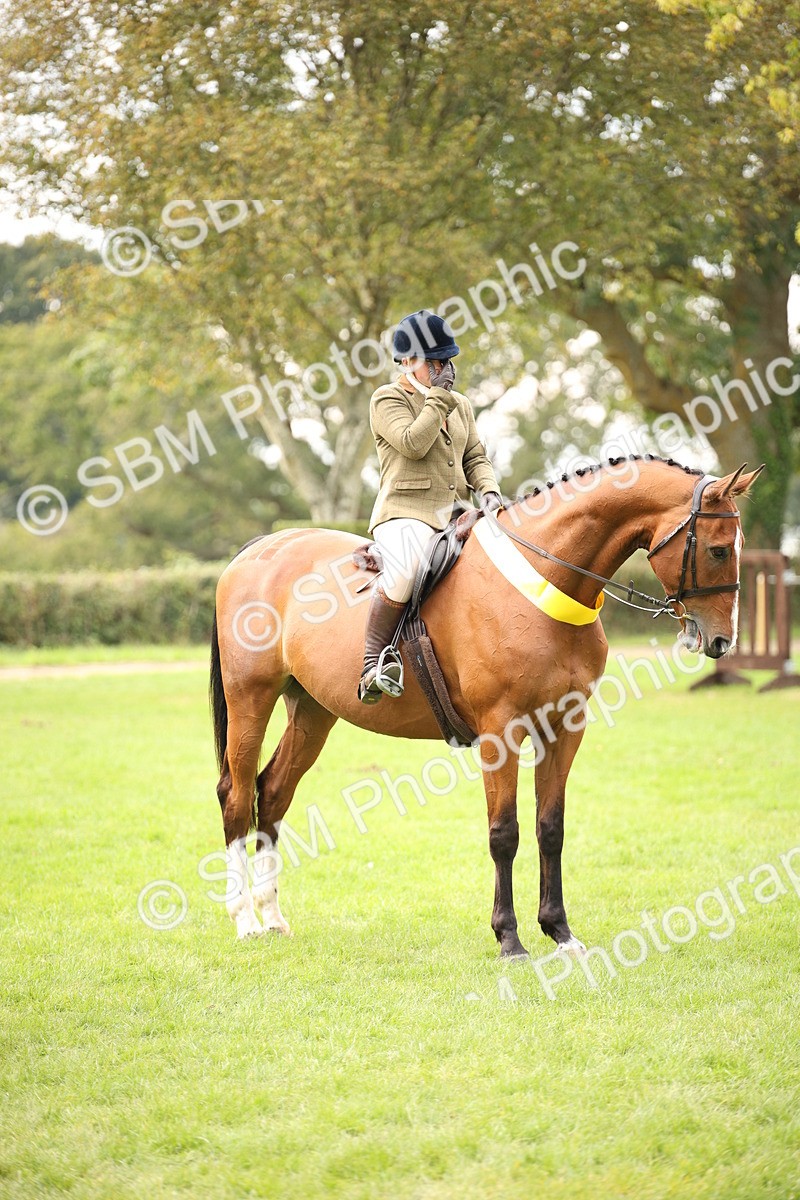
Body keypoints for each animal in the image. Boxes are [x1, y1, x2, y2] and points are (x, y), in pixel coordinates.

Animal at [209, 455, 763, 955]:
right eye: (717, 550)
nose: (720, 641)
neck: (546, 576)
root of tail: (262, 548)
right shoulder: (502, 731)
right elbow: (505, 833)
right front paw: (510, 939)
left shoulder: (565, 727)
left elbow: (550, 828)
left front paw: (559, 932)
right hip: (251, 699)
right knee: (237, 795)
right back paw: (245, 921)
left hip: (313, 710)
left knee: (273, 793)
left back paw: (273, 916)